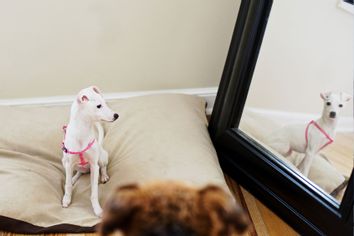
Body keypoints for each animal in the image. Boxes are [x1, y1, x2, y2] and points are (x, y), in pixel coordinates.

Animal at [59, 85, 117, 217]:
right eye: (99, 106)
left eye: (105, 103)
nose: (116, 115)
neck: (82, 131)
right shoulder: (69, 164)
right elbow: (67, 185)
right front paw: (66, 199)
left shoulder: (94, 166)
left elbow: (94, 192)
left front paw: (98, 210)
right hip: (64, 162)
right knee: (78, 172)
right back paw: (74, 178)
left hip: (102, 157)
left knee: (103, 167)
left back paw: (104, 176)